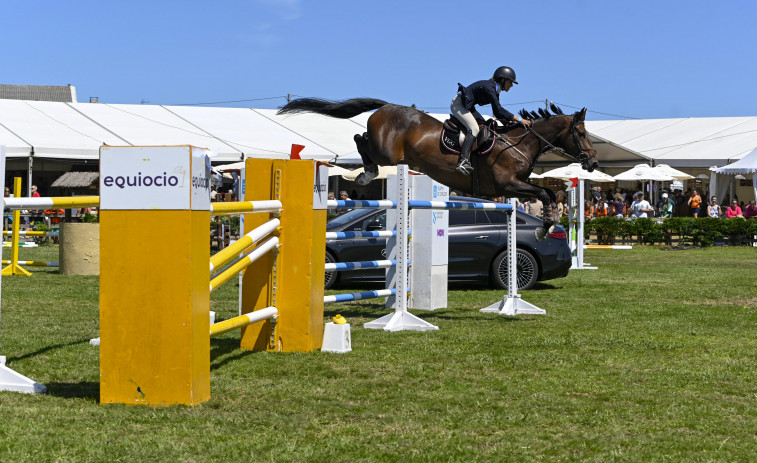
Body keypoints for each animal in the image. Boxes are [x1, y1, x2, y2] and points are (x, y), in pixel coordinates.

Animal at [276, 96, 596, 237]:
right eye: (581, 133)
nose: (592, 161)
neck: (519, 142)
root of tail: (385, 106)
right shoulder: (507, 184)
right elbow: (544, 194)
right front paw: (545, 227)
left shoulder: (515, 187)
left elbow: (548, 194)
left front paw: (548, 223)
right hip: (386, 153)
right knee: (360, 139)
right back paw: (367, 174)